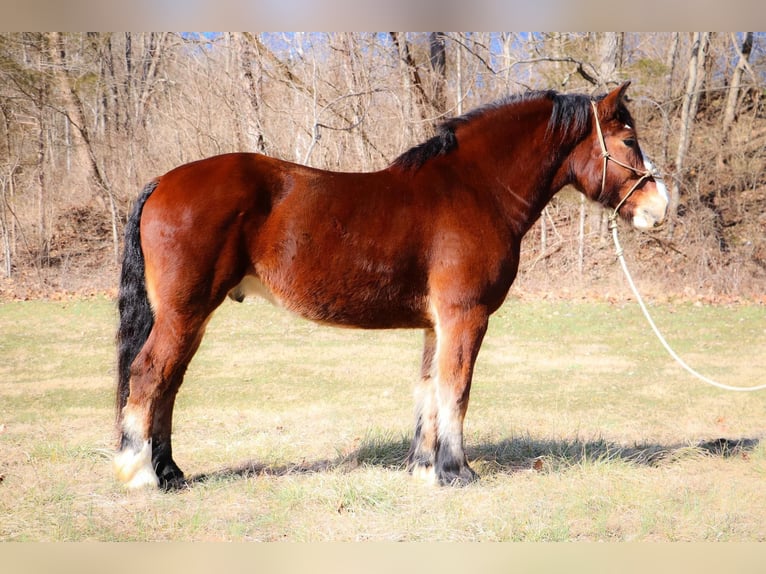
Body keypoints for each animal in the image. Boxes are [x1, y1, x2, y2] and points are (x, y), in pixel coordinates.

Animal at [115, 82, 672, 490]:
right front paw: (457, 471)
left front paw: (424, 467)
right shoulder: (465, 315)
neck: (475, 189)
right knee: (148, 375)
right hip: (185, 313)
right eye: (627, 141)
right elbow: (456, 388)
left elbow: (427, 389)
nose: (660, 206)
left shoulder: (435, 323)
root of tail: (163, 182)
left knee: (168, 384)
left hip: (189, 316)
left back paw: (171, 473)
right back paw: (140, 474)